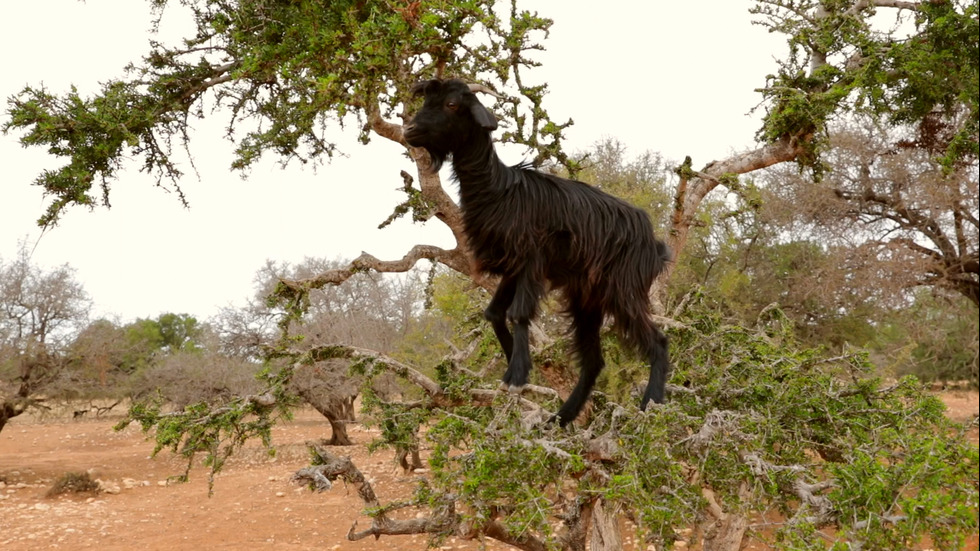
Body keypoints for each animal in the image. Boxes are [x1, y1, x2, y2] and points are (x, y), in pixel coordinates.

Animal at [402, 77, 668, 424]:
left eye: (451, 104)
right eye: (426, 101)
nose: (409, 130)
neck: (498, 190)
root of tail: (654, 243)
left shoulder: (531, 261)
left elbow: (517, 313)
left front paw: (517, 374)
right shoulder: (512, 266)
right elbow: (493, 313)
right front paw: (513, 367)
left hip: (625, 289)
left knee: (658, 341)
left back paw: (652, 403)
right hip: (586, 298)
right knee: (593, 361)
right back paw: (561, 418)